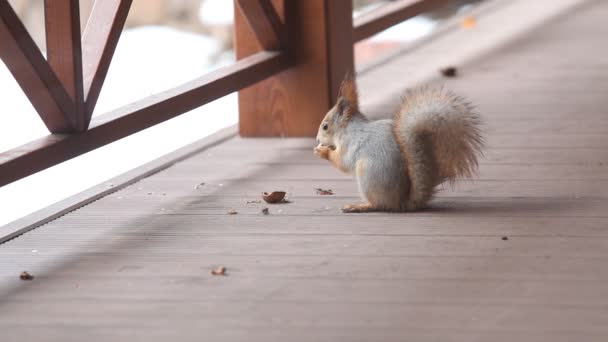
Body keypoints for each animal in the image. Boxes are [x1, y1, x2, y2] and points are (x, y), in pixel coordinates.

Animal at [314, 76, 484, 212]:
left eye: (325, 126)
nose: (317, 139)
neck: (348, 129)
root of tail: (401, 203)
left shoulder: (349, 144)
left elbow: (343, 162)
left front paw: (322, 152)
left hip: (367, 173)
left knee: (379, 204)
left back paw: (359, 206)